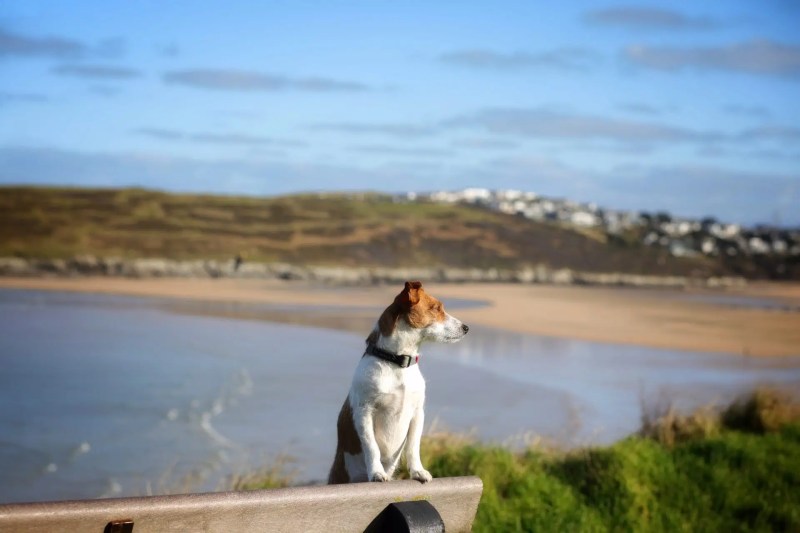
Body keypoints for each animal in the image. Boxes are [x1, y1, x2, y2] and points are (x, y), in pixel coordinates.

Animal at [328, 280, 468, 484]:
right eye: (436, 308)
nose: (466, 328)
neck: (398, 362)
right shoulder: (364, 413)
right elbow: (372, 447)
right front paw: (377, 473)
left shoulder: (417, 413)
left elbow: (413, 447)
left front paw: (418, 471)